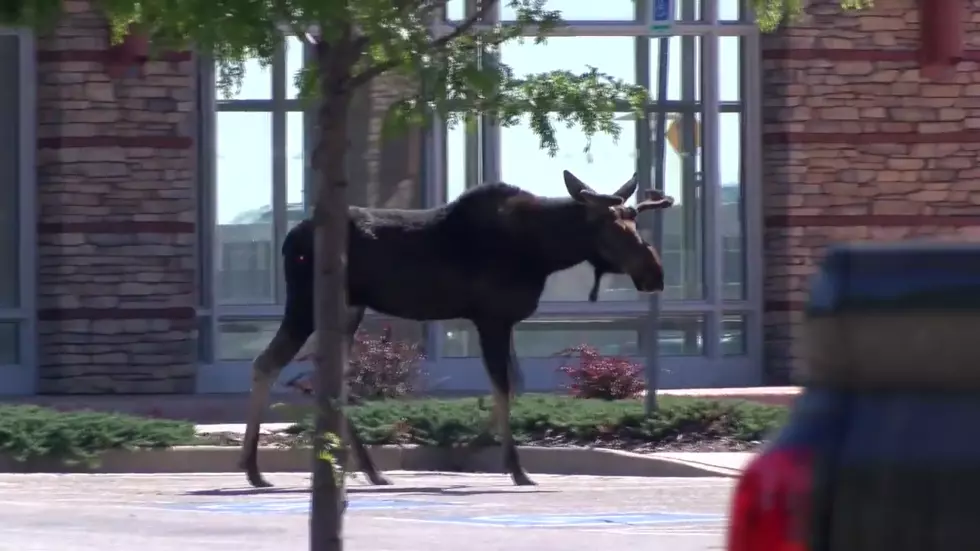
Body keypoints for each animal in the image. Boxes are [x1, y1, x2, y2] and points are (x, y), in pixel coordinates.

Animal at [241, 168, 676, 488]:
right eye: (615, 229)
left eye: (635, 223)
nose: (656, 274)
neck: (545, 252)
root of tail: (289, 239)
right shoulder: (491, 317)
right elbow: (504, 387)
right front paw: (514, 467)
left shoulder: (502, 320)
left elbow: (515, 385)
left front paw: (467, 449)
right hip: (307, 305)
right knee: (267, 363)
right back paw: (254, 469)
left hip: (347, 309)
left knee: (324, 375)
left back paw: (369, 469)